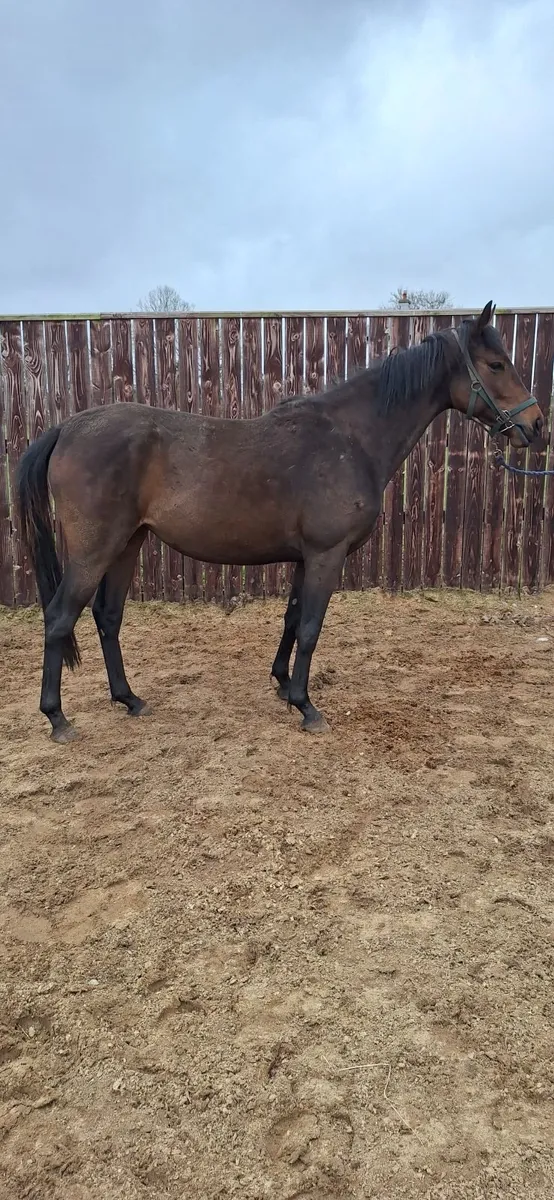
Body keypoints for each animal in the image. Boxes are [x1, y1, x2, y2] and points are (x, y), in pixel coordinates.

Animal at [16, 302, 542, 744]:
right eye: (496, 365)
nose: (535, 425)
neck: (350, 438)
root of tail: (67, 428)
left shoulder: (305, 557)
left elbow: (291, 618)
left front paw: (283, 684)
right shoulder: (327, 554)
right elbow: (310, 625)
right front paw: (307, 707)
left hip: (129, 544)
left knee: (108, 617)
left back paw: (129, 699)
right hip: (95, 551)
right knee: (59, 618)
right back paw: (57, 718)